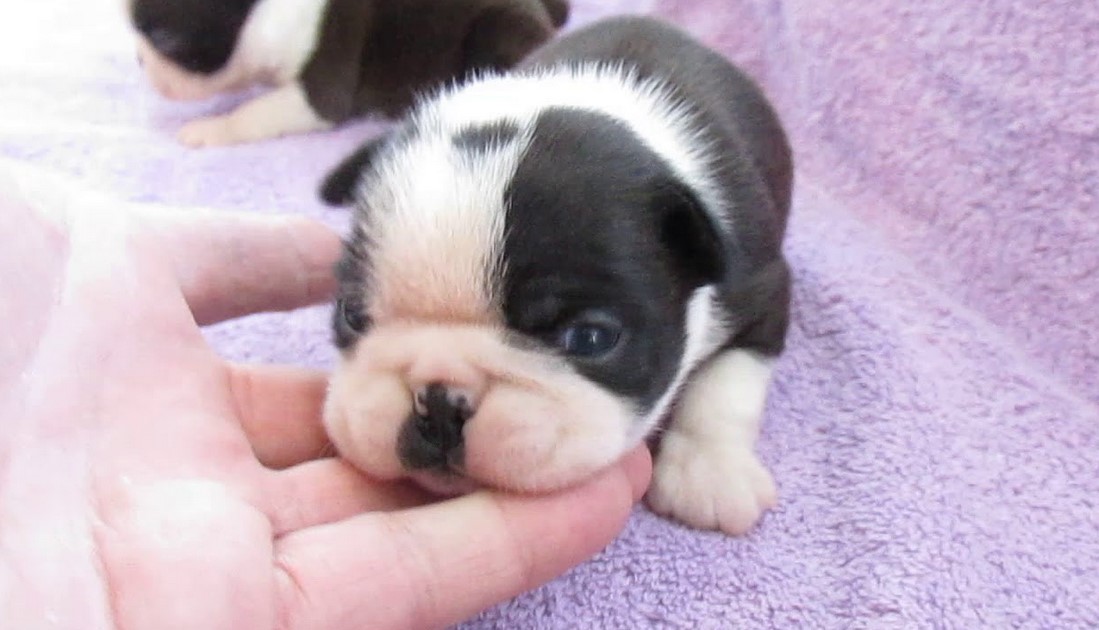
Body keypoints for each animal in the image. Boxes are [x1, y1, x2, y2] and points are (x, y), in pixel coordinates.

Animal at [123, 0, 567, 147]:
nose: (139, 60)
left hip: (495, 31)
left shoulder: (322, 88)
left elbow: (254, 113)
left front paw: (211, 128)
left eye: (166, 40)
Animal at [318, 14, 791, 532]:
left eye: (590, 338)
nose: (439, 400)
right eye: (353, 315)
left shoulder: (763, 288)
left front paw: (709, 475)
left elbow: (727, 386)